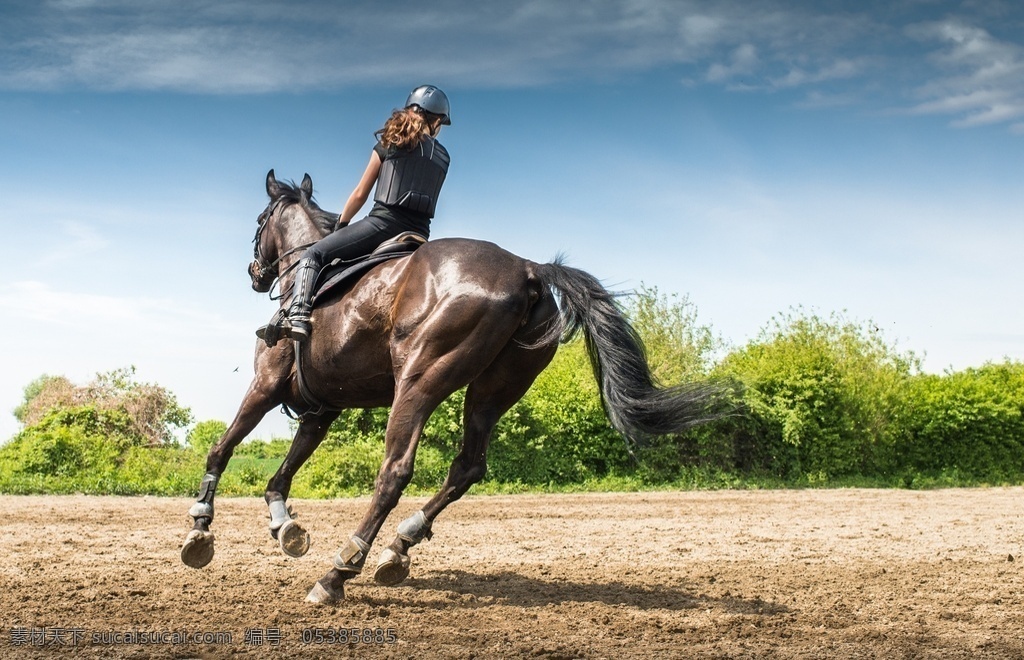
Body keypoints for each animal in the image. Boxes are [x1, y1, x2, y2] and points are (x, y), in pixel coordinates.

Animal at [180, 168, 724, 601]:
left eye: (259, 221)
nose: (255, 273)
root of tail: (528, 269)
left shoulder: (266, 387)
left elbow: (221, 449)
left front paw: (200, 529)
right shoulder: (321, 409)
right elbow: (282, 474)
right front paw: (285, 526)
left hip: (419, 382)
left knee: (395, 472)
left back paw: (339, 572)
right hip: (492, 392)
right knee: (467, 467)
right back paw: (398, 548)